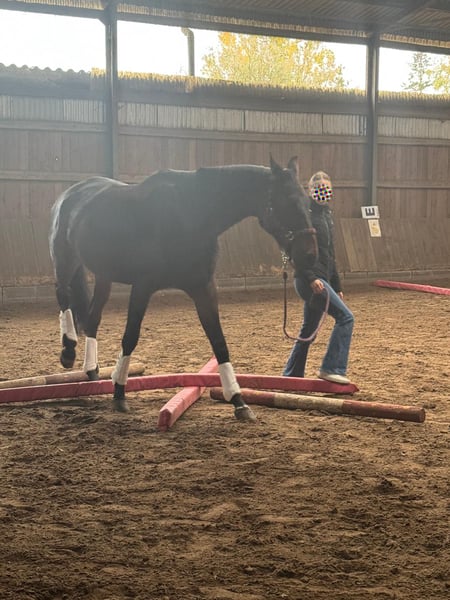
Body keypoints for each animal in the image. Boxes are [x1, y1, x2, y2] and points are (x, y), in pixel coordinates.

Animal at [49, 156, 317, 422]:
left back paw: (92, 370)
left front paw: (239, 401)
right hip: (66, 260)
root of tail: (71, 193)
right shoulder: (143, 286)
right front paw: (119, 392)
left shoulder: (203, 288)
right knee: (63, 295)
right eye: (286, 201)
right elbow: (130, 337)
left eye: (307, 203)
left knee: (92, 319)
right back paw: (68, 352)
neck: (190, 214)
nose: (310, 255)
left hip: (104, 275)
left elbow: (219, 342)